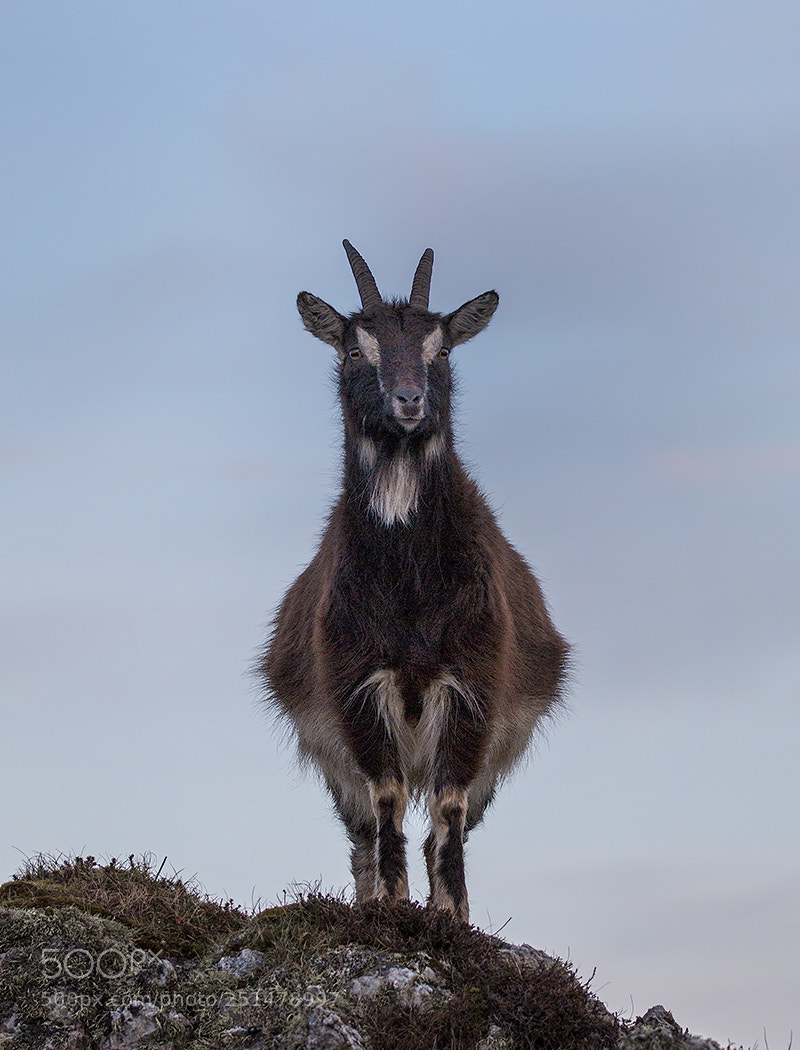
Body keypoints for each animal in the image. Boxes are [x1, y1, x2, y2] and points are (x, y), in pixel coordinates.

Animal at [261, 241, 568, 921]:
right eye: (355, 350)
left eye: (442, 350)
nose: (408, 400)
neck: (409, 589)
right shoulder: (354, 683)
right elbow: (388, 795)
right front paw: (392, 904)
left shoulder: (474, 682)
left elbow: (448, 804)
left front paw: (451, 914)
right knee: (360, 832)